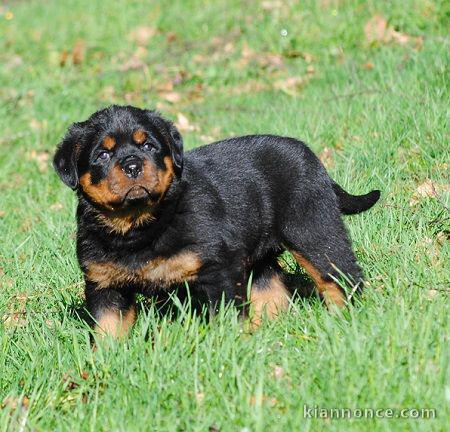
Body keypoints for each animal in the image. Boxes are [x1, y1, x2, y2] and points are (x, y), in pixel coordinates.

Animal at [52, 105, 380, 338]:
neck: (138, 224)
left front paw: (229, 345)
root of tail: (312, 157)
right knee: (270, 287)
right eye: (102, 154)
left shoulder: (218, 268)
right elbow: (107, 331)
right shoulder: (104, 284)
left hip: (311, 227)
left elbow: (227, 316)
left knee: (339, 275)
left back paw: (345, 319)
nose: (132, 166)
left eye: (149, 147)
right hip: (260, 252)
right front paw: (104, 365)